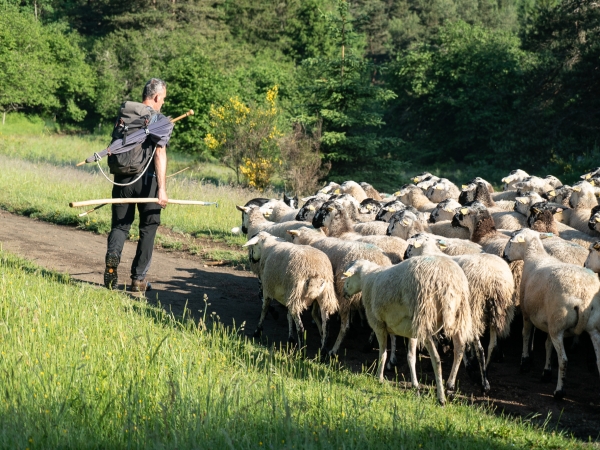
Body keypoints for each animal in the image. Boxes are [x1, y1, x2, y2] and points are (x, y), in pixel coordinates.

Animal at [342, 255, 474, 406]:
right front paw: (415, 385)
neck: (366, 279)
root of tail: (449, 282)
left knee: (436, 359)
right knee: (459, 350)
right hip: (460, 316)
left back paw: (441, 398)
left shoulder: (378, 324)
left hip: (425, 318)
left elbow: (383, 354)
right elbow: (411, 357)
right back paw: (450, 385)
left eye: (348, 277)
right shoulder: (412, 331)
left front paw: (379, 378)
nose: (344, 293)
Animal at [404, 234, 516, 392]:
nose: (404, 256)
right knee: (492, 346)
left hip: (474, 310)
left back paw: (478, 381)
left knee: (478, 349)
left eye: (410, 246)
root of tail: (493, 279)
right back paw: (485, 374)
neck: (429, 252)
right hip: (498, 313)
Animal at [502, 230, 600, 400]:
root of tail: (583, 296)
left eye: (510, 241)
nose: (504, 255)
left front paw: (524, 362)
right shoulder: (549, 321)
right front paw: (546, 372)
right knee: (599, 359)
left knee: (564, 360)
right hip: (589, 328)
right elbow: (548, 345)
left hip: (558, 325)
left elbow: (525, 335)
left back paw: (559, 392)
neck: (535, 256)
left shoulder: (527, 313)